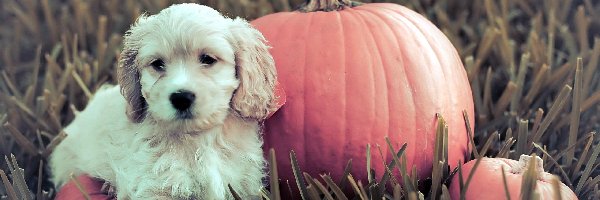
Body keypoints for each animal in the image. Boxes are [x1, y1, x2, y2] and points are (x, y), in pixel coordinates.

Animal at [50, 3, 278, 200]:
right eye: (157, 64)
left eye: (208, 59)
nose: (181, 97)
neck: (198, 140)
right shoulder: (155, 186)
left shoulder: (242, 183)